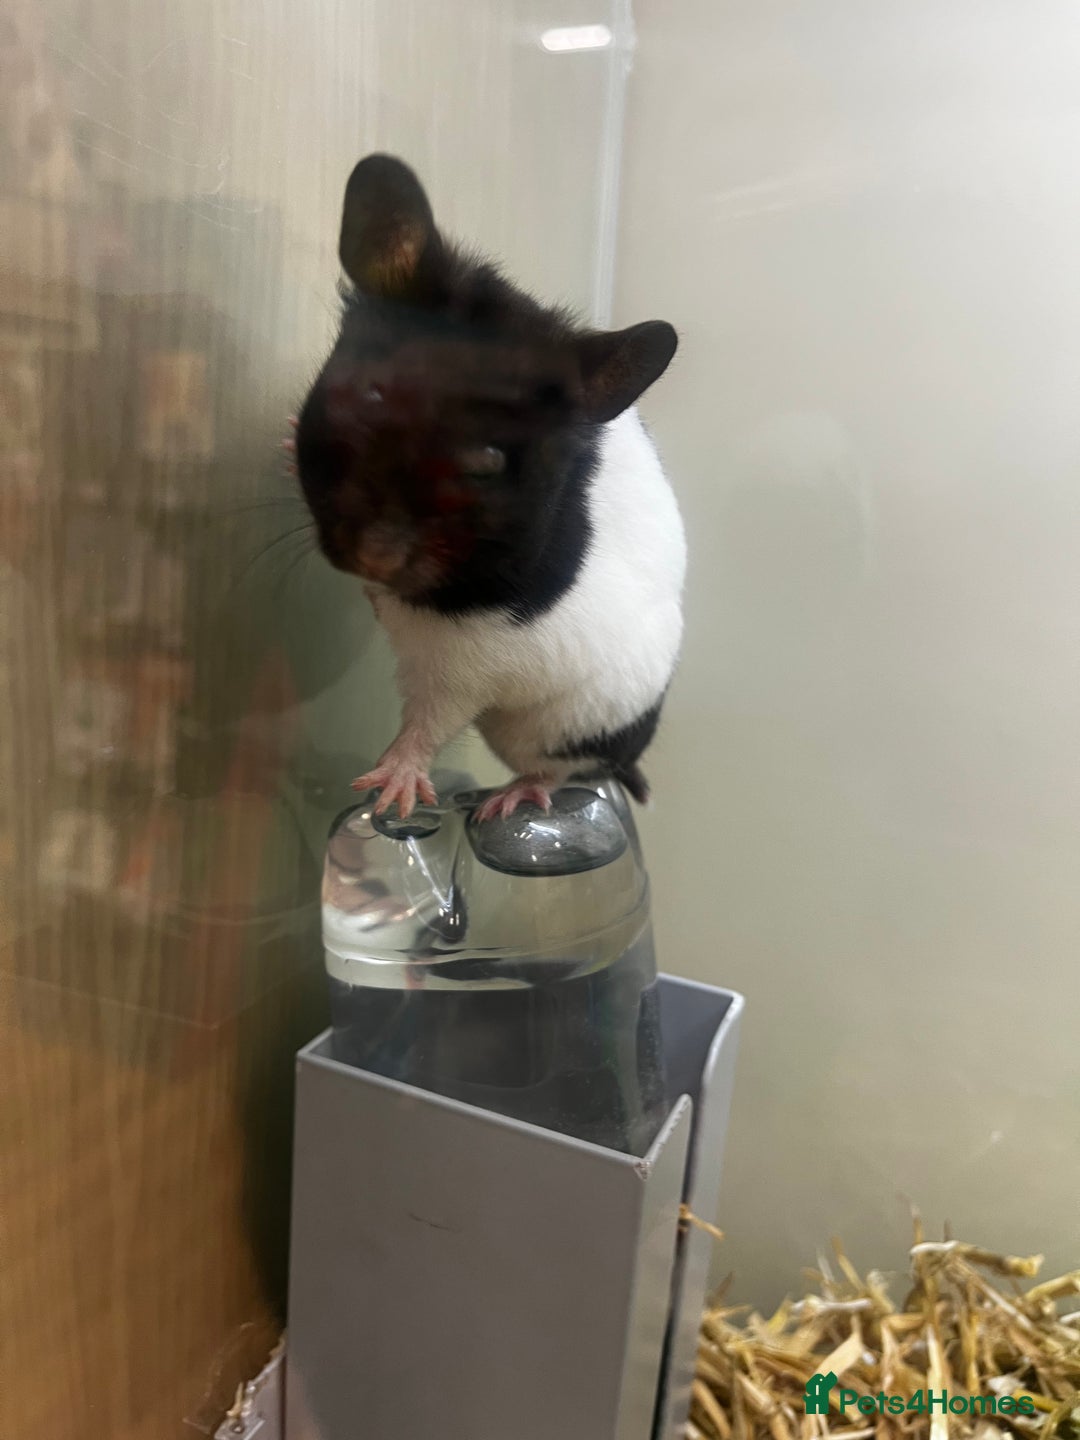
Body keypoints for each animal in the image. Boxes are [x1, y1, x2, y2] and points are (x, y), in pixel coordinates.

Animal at [294, 154, 685, 821]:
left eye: (493, 459)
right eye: (372, 395)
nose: (375, 559)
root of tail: (633, 751)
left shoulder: (474, 660)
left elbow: (427, 723)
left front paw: (389, 793)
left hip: (555, 727)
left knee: (560, 769)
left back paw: (503, 802)